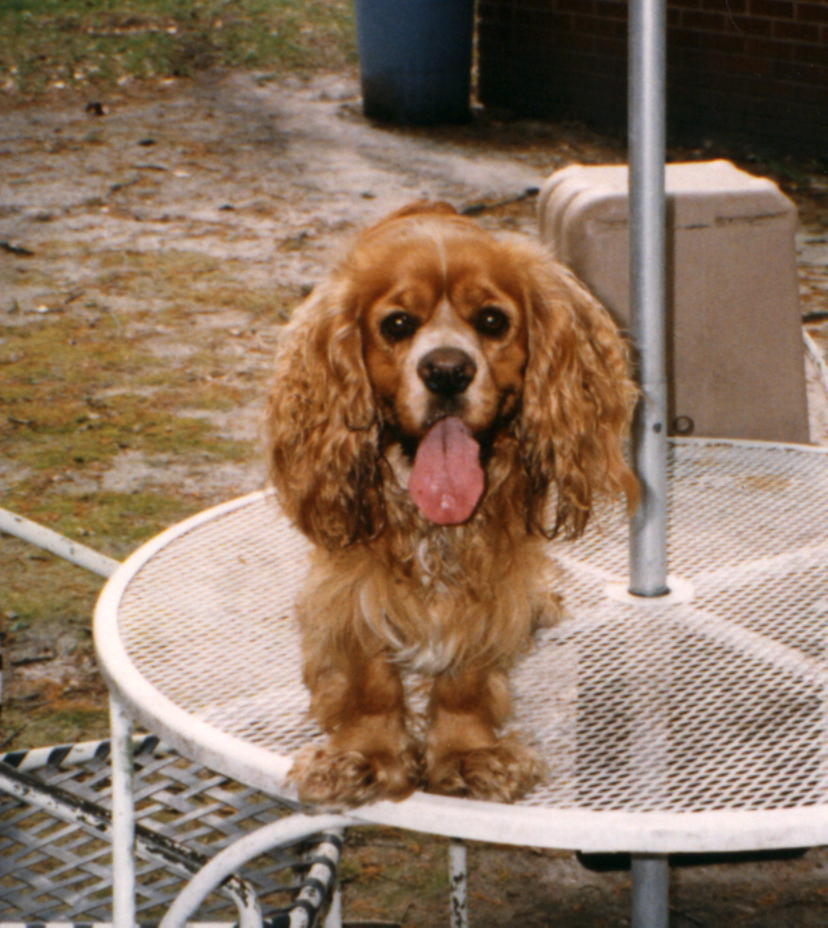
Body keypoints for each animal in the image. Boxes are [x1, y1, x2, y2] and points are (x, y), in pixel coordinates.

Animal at [266, 201, 637, 806]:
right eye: (396, 325)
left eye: (492, 320)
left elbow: (466, 670)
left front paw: (469, 752)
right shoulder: (353, 570)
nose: (446, 370)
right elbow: (368, 670)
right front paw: (363, 755)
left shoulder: (491, 567)